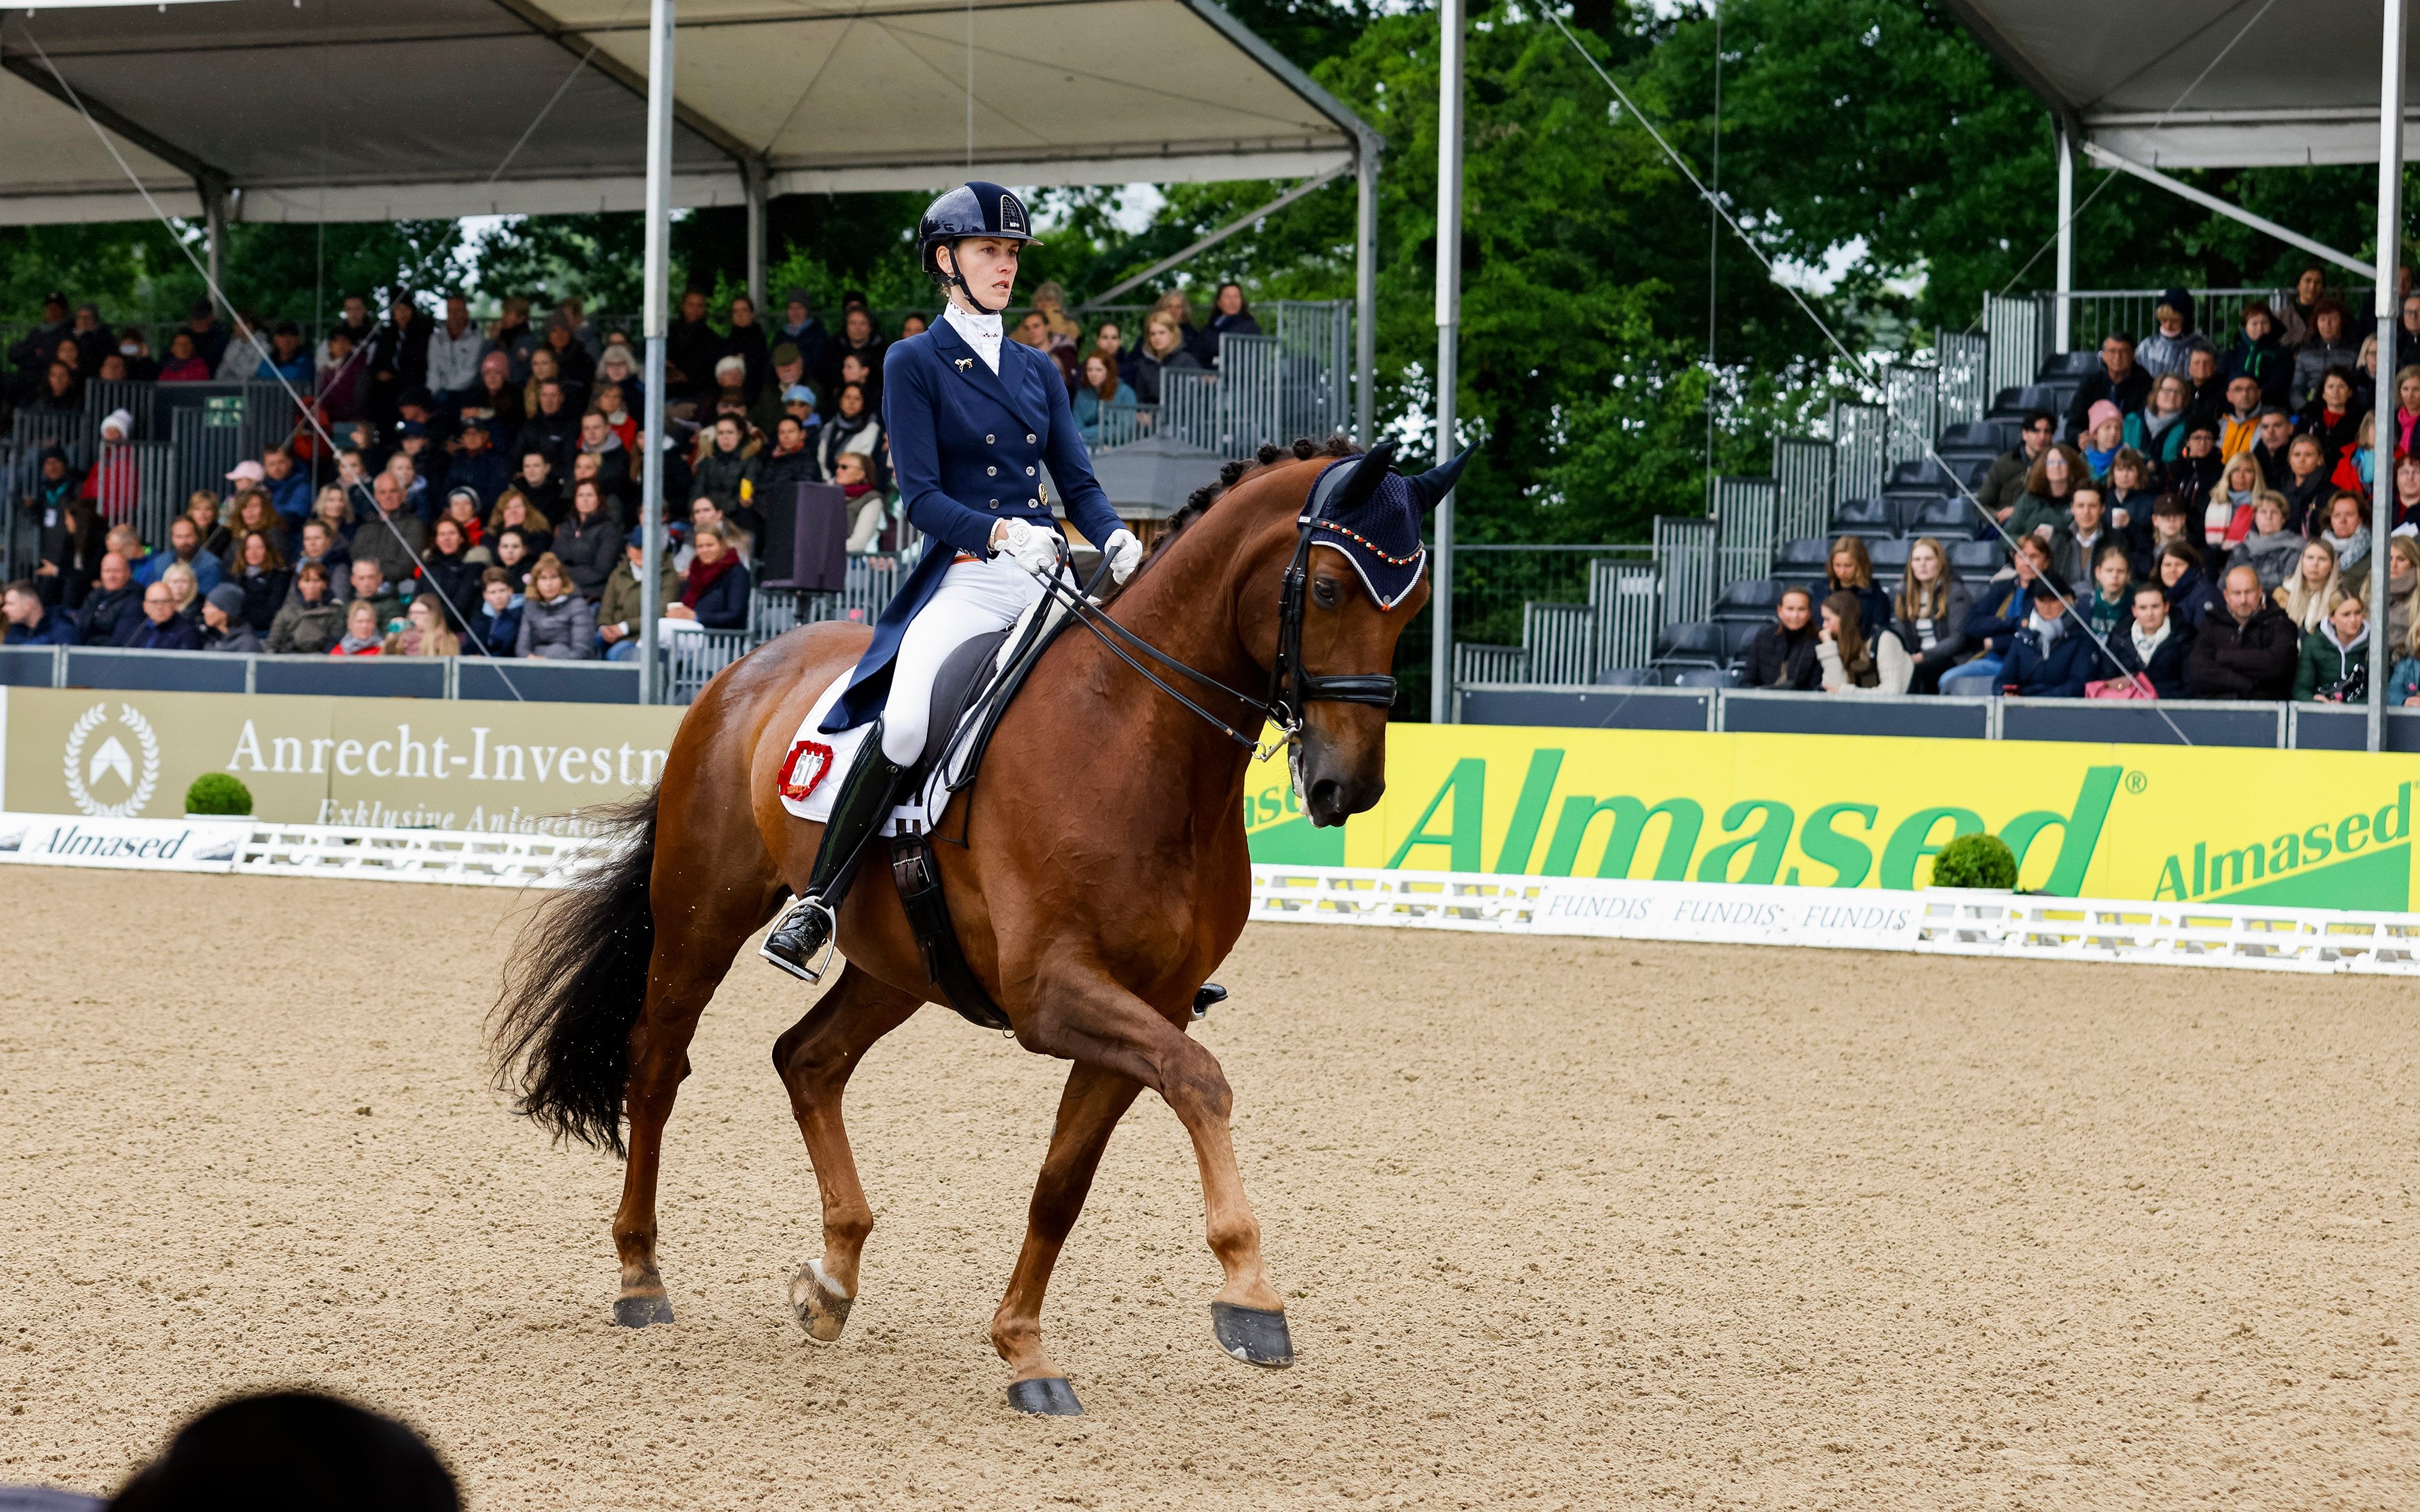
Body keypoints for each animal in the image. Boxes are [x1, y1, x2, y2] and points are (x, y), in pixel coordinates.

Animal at [484, 430, 1442, 1413]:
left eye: (1416, 604)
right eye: (1326, 589)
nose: (1347, 787)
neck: (1136, 741)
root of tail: (744, 670)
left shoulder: (1153, 1002)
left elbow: (1064, 1180)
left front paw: (1025, 1350)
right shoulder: (1053, 995)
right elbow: (1201, 1080)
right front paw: (1250, 1294)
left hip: (898, 962)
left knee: (807, 1059)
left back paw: (831, 1281)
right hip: (700, 912)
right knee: (656, 1061)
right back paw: (641, 1276)